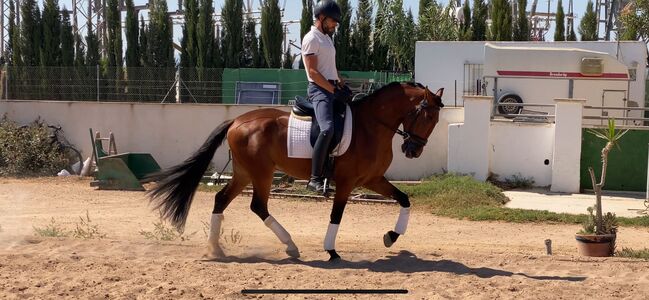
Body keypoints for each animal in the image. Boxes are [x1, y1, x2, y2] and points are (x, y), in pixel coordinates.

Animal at [145, 81, 442, 260]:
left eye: (436, 120)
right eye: (427, 116)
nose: (413, 150)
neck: (371, 126)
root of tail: (237, 120)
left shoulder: (372, 179)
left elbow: (404, 199)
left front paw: (391, 237)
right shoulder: (347, 182)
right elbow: (336, 215)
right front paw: (331, 250)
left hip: (244, 173)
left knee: (221, 200)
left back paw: (216, 249)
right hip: (261, 174)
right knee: (258, 206)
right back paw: (290, 245)